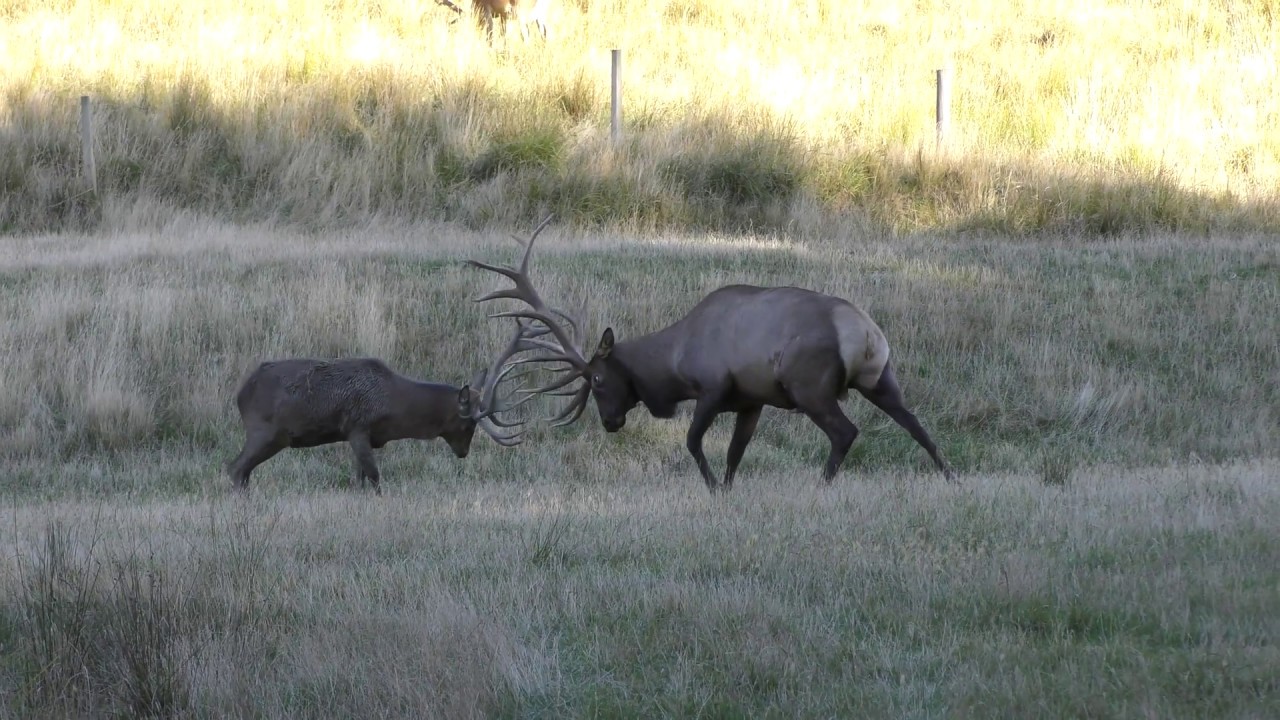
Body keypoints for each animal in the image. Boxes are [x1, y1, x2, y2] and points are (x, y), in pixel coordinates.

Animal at [225, 320, 535, 491]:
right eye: (468, 423)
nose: (463, 453)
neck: (394, 410)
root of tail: (241, 393)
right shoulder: (357, 427)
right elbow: (374, 477)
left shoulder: (364, 436)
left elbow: (360, 478)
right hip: (265, 431)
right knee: (236, 468)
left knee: (243, 471)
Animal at [465, 215, 957, 489]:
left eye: (599, 380)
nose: (610, 422)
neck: (674, 362)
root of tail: (862, 332)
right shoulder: (752, 401)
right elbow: (736, 454)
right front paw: (727, 488)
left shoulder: (713, 388)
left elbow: (692, 442)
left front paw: (711, 487)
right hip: (880, 377)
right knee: (914, 422)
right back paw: (949, 474)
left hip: (810, 386)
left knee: (846, 432)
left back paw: (823, 484)